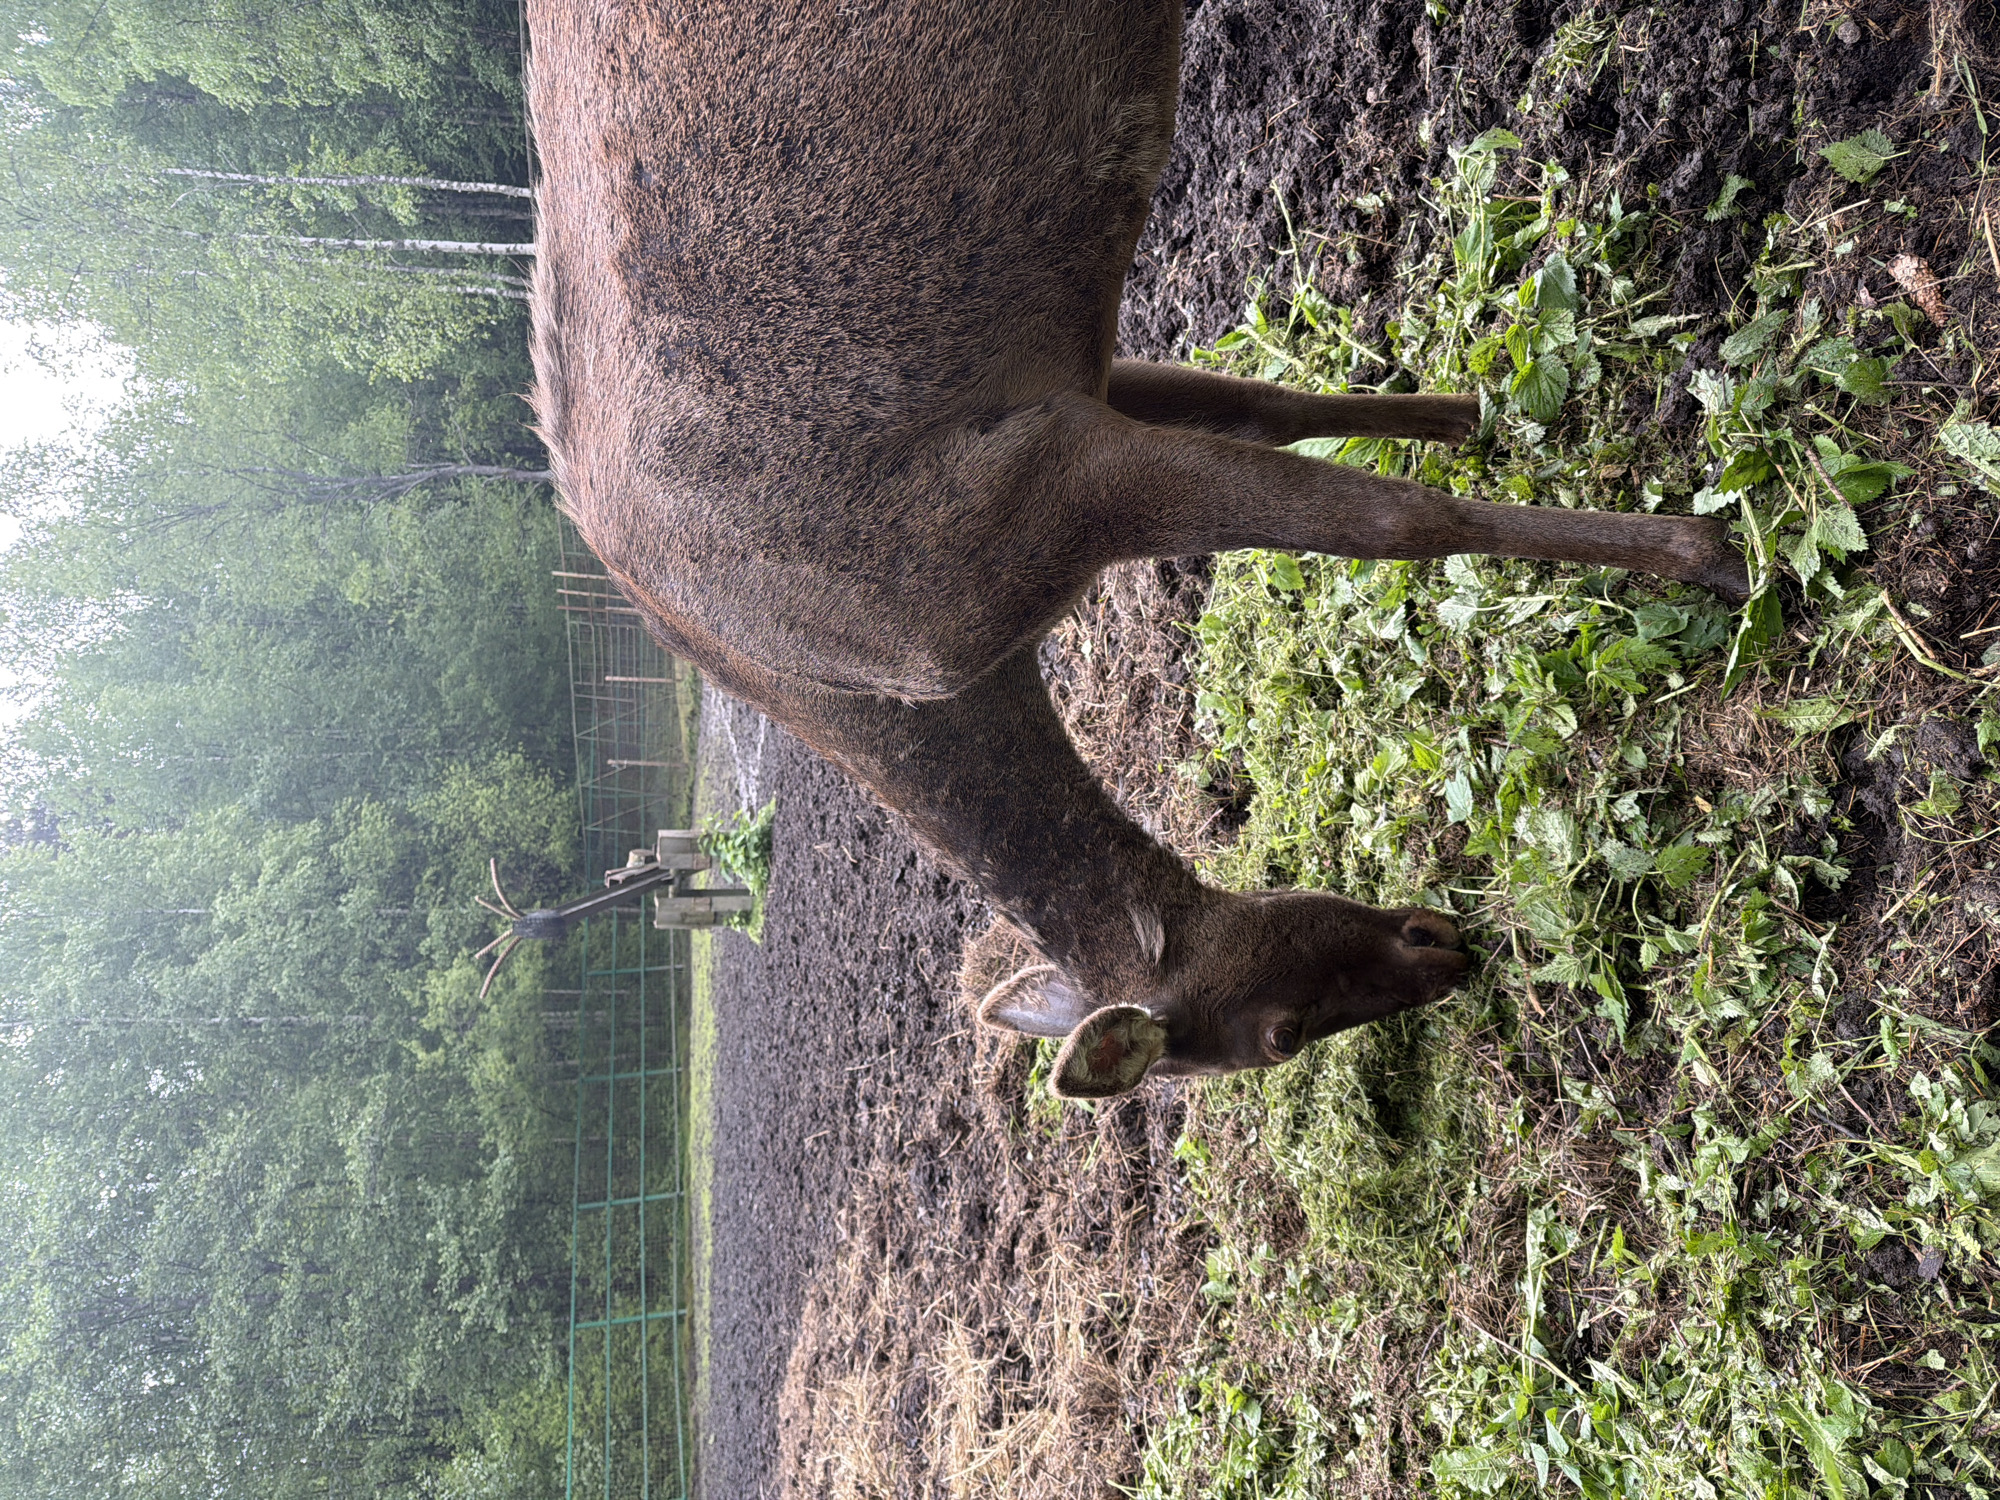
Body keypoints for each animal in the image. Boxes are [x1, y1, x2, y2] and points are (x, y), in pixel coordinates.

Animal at [524, 0, 1750, 1098]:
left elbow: (1388, 522)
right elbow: (1269, 404)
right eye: (1282, 1037)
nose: (1440, 946)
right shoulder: (1071, 396)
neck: (921, 663)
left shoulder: (1041, 487)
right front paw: (1474, 412)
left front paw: (1707, 548)